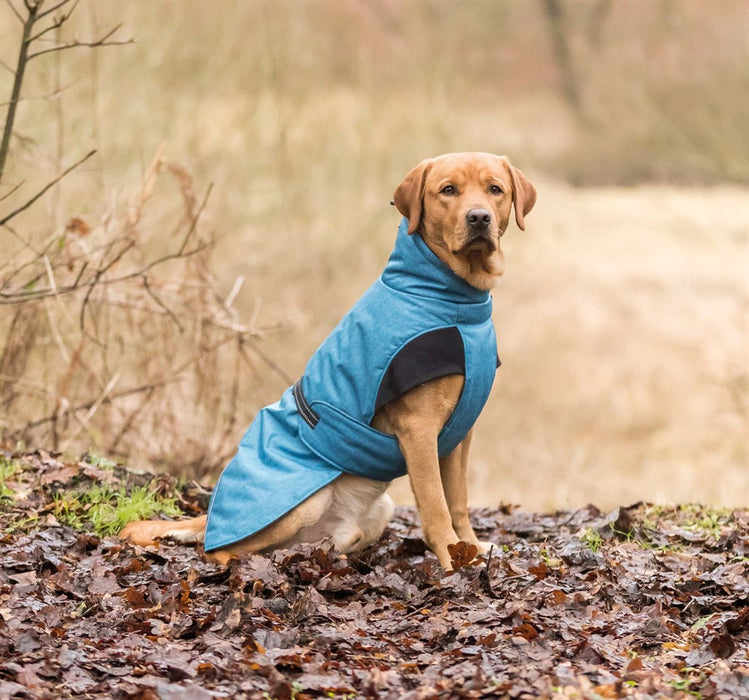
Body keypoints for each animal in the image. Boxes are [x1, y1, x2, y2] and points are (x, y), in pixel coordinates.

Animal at [120, 152, 536, 568]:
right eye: (448, 190)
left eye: (494, 189)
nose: (479, 217)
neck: (454, 301)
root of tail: (208, 516)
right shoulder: (419, 429)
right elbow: (436, 506)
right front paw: (453, 560)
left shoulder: (459, 433)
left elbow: (459, 501)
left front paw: (473, 548)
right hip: (304, 502)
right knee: (220, 550)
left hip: (378, 510)